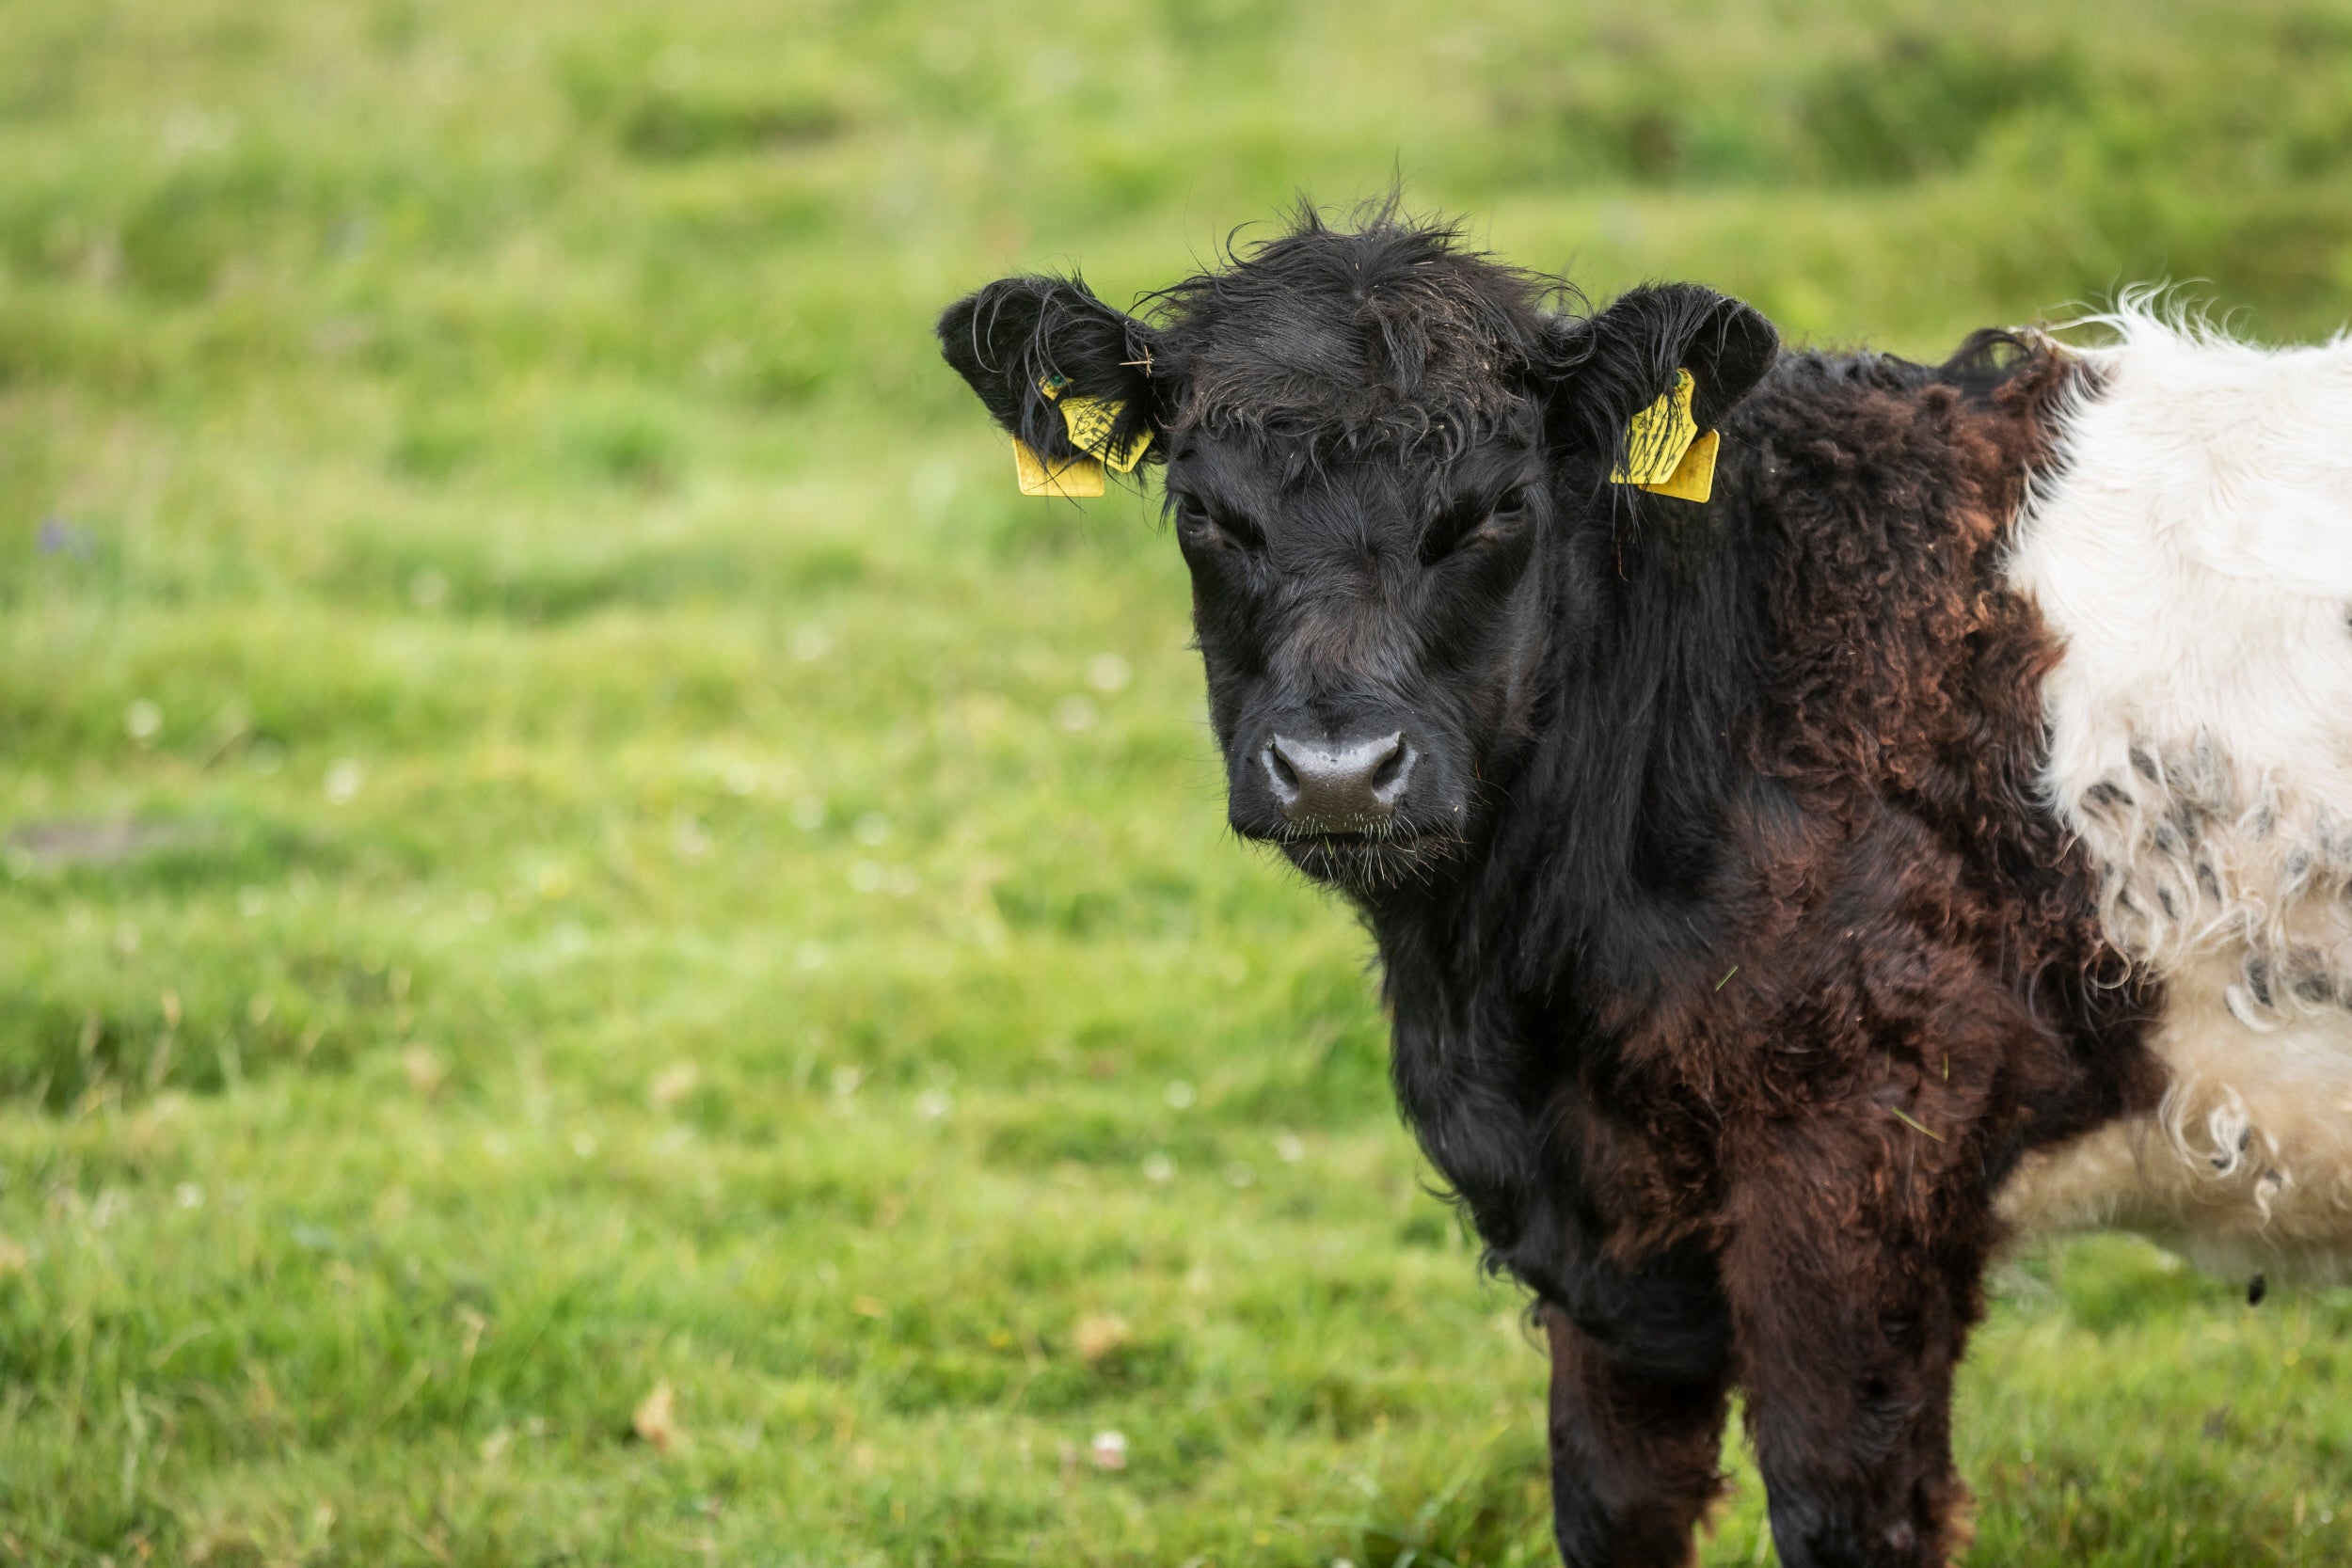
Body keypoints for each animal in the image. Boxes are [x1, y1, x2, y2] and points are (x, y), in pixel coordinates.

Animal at [936, 205, 2352, 1568]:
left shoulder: (1862, 1158)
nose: (1338, 772)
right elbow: (1615, 1499)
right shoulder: (1606, 1229)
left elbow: (1842, 1505)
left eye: (1498, 509)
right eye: (1202, 512)